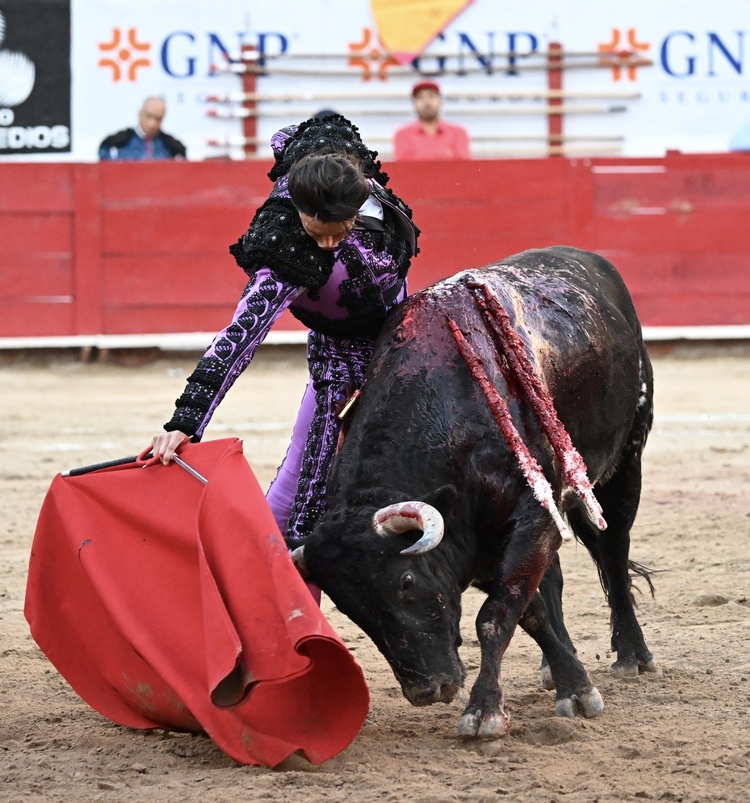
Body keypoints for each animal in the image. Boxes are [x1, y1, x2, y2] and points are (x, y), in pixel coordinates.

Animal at [290, 246, 658, 738]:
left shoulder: (531, 520)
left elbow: (497, 615)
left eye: (406, 582)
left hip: (625, 461)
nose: (428, 690)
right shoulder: (481, 537)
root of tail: (589, 260)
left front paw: (485, 712)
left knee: (613, 551)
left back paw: (633, 656)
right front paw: (572, 685)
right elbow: (530, 611)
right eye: (348, 609)